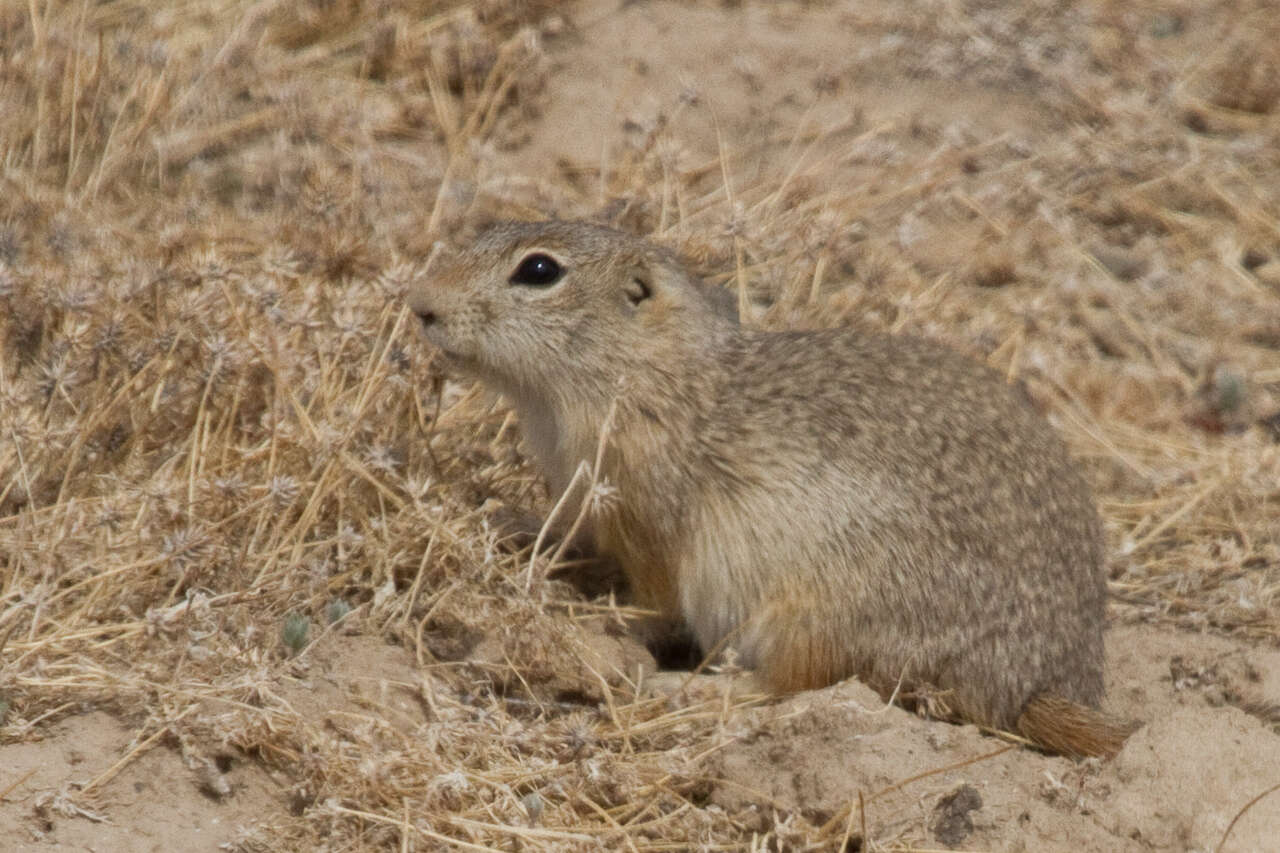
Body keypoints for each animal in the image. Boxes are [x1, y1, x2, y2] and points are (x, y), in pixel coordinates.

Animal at [407, 219, 1131, 758]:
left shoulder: (649, 522)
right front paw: (510, 522)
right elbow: (572, 537)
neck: (646, 373)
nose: (419, 303)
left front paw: (582, 617)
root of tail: (1029, 686)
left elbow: (650, 602)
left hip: (811, 615)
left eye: (538, 271)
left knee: (791, 686)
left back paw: (691, 692)